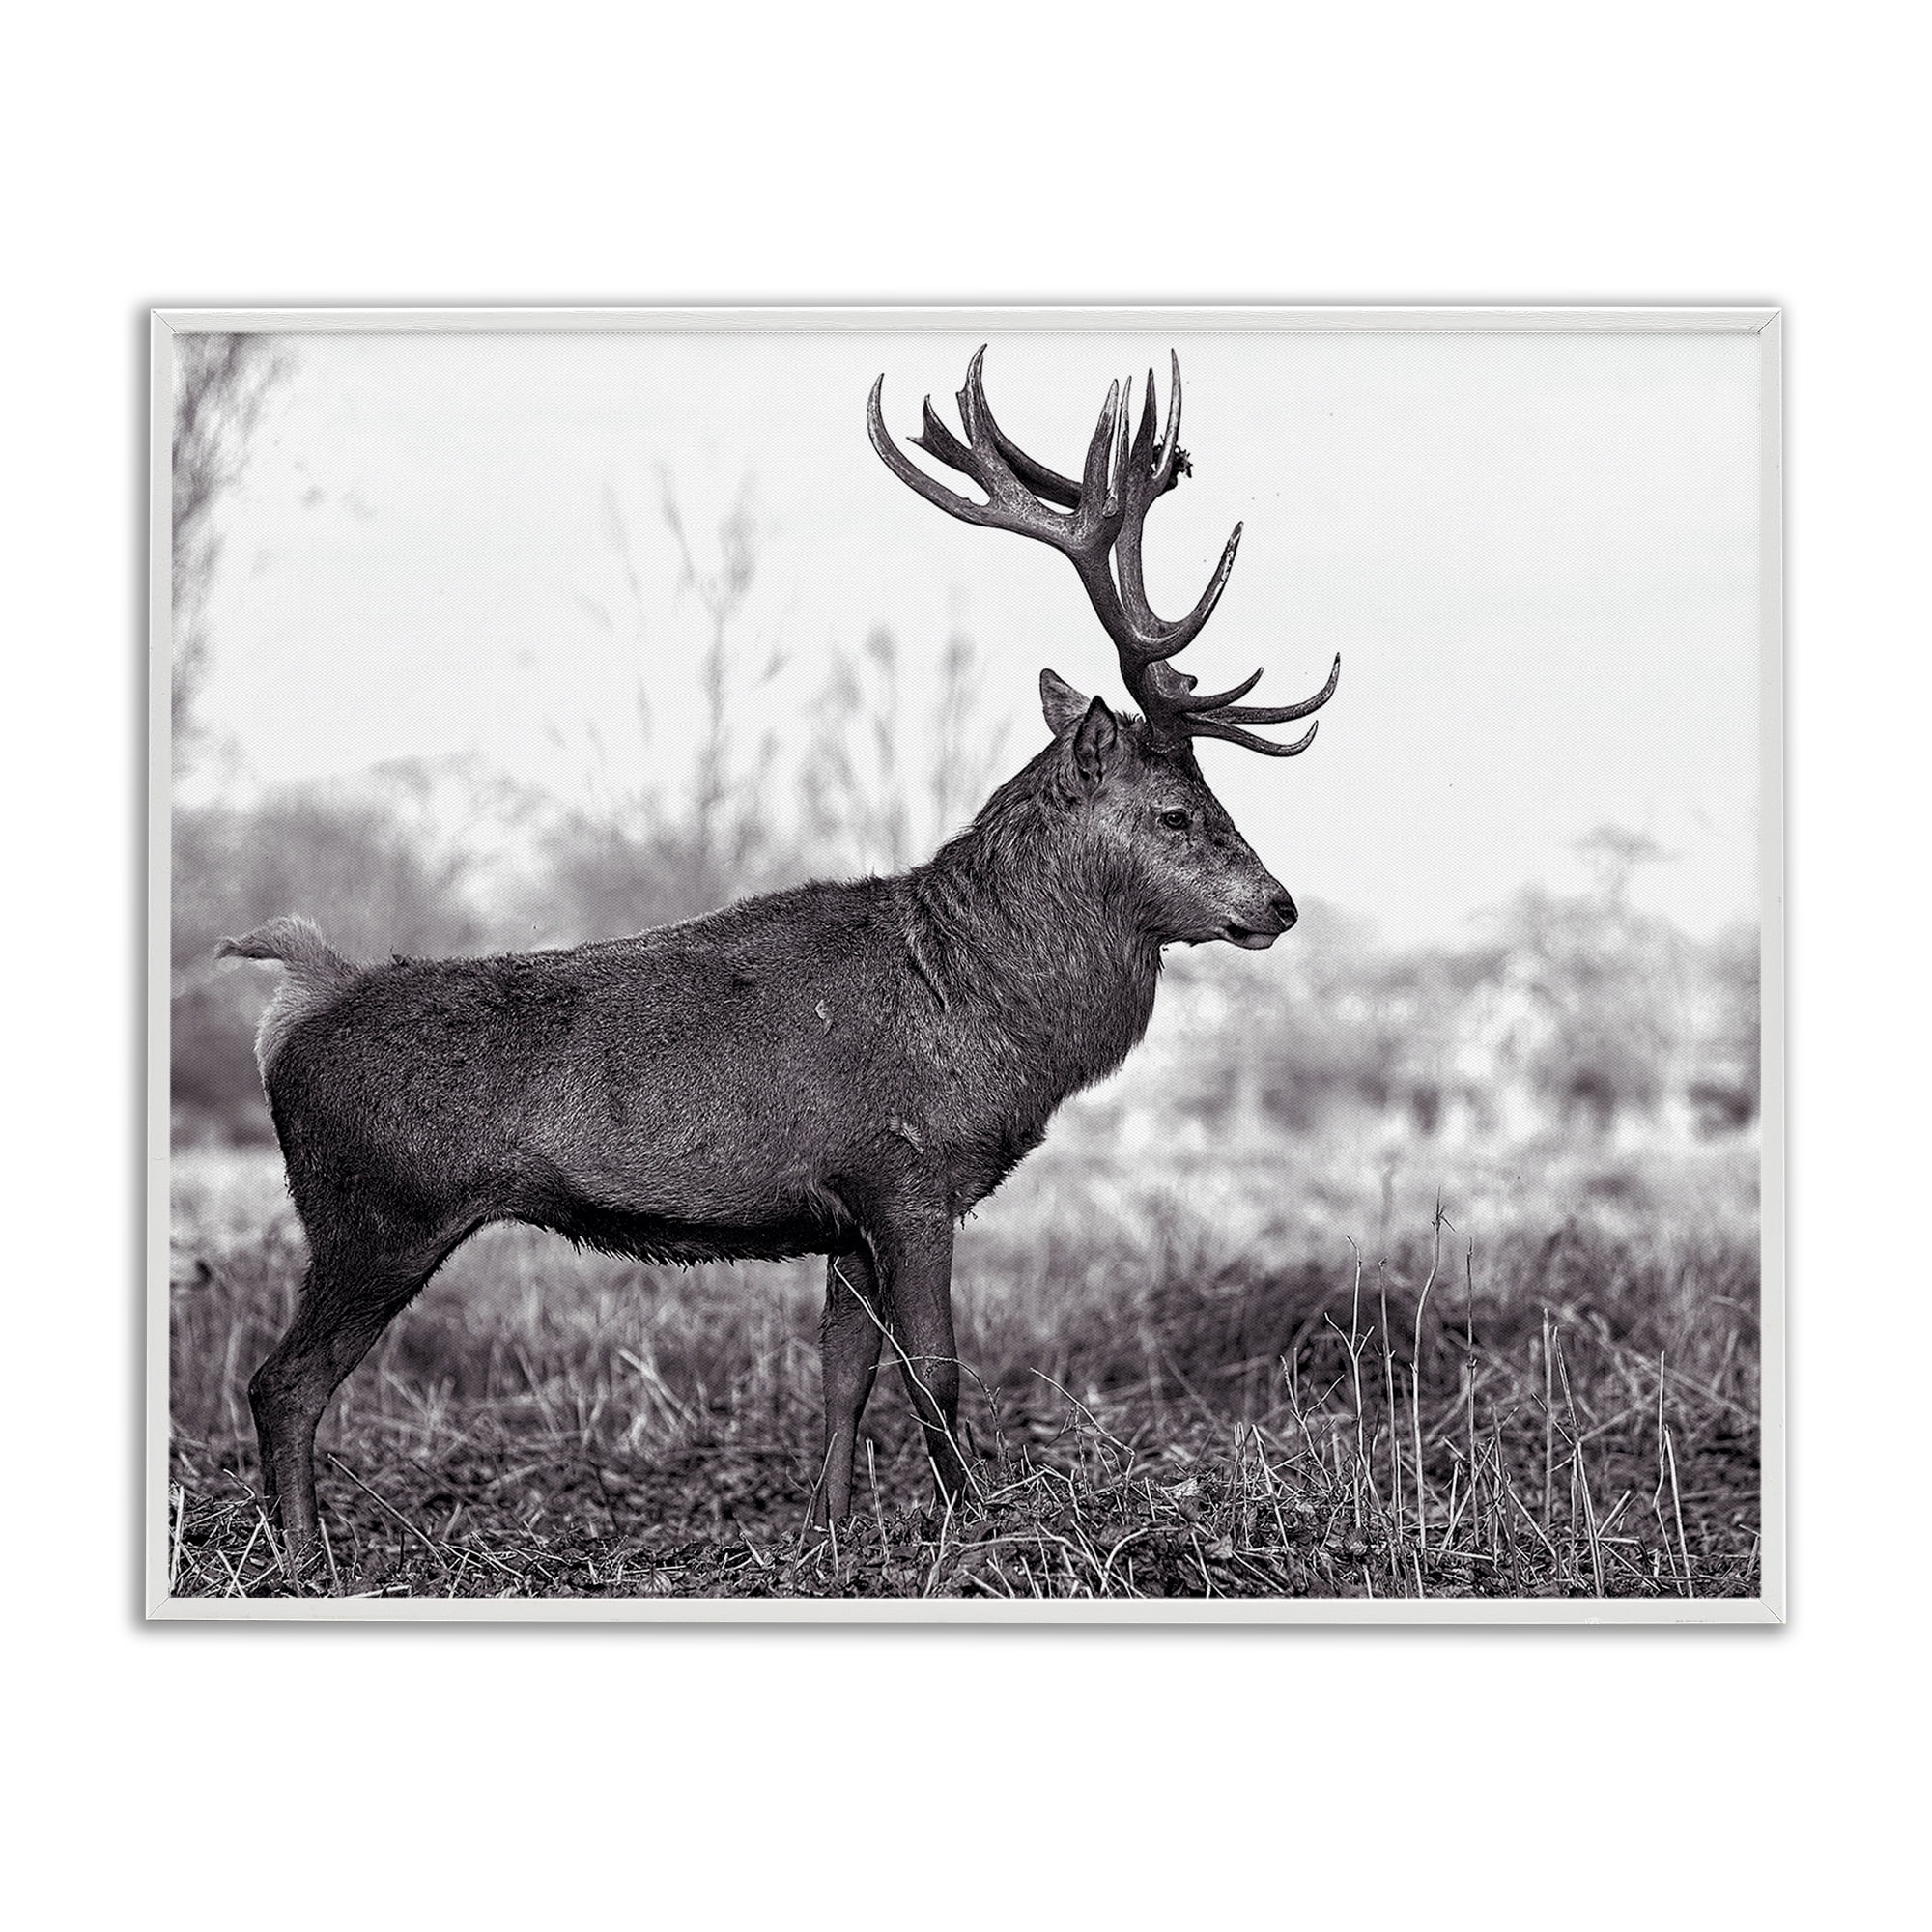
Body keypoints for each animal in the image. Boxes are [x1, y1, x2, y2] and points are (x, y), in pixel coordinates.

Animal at [216, 347, 1339, 1567]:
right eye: (1178, 812)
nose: (1278, 905)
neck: (985, 1007)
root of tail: (295, 1003)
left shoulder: (840, 1211)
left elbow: (842, 1373)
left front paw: (831, 1533)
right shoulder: (908, 1175)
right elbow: (935, 1371)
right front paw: (974, 1530)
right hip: (374, 1211)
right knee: (281, 1382)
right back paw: (304, 1557)